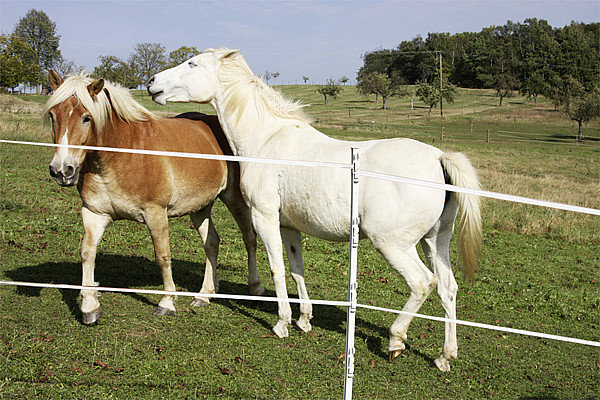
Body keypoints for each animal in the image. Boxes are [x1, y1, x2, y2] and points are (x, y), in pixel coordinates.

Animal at [43, 69, 264, 324]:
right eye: (53, 115)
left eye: (86, 117)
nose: (62, 170)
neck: (122, 154)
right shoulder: (94, 213)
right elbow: (87, 253)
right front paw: (89, 307)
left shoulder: (155, 213)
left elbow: (163, 256)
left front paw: (166, 302)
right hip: (200, 206)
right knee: (212, 243)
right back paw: (205, 294)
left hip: (234, 199)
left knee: (249, 238)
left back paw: (255, 288)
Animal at [150, 47, 482, 372]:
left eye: (193, 64)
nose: (153, 83)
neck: (267, 139)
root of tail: (439, 158)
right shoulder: (289, 227)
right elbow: (297, 270)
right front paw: (304, 320)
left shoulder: (265, 218)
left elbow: (277, 269)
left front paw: (282, 324)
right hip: (434, 241)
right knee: (448, 288)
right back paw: (444, 357)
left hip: (394, 245)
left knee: (423, 283)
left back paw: (395, 341)